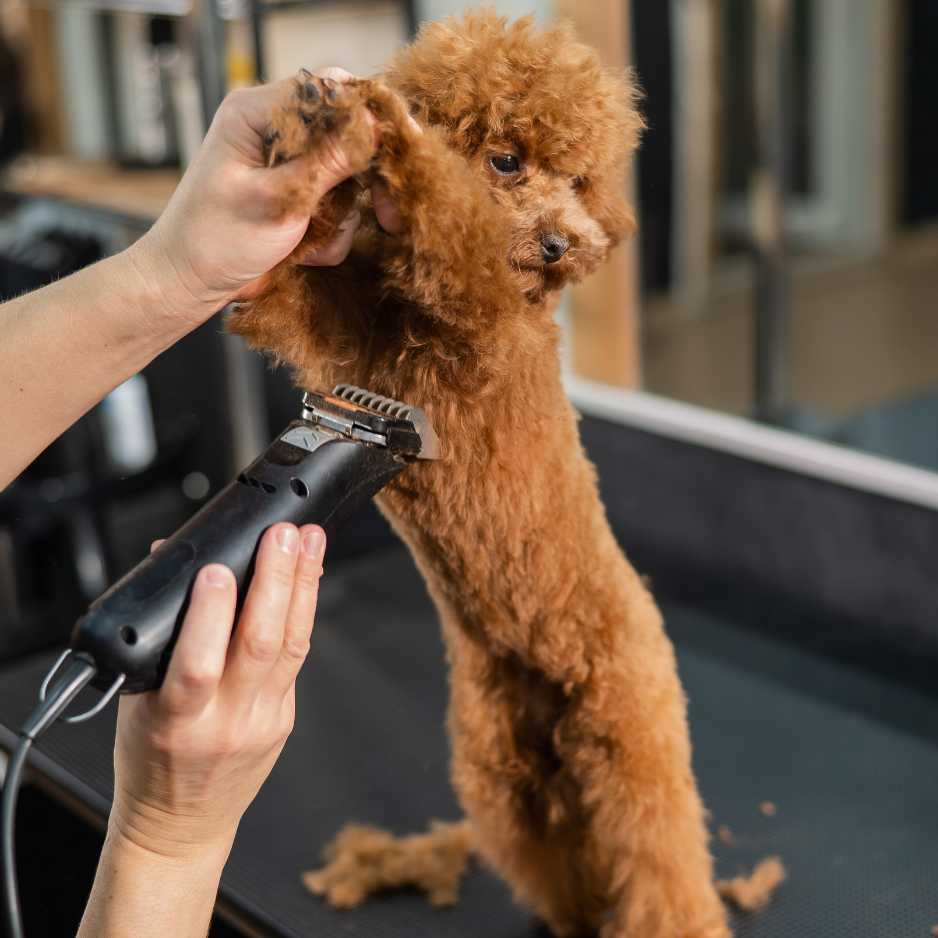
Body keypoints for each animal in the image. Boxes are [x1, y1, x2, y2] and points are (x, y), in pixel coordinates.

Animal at [230, 9, 728, 936]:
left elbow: (450, 225)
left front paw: (390, 136)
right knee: (557, 860)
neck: (415, 316)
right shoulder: (328, 333)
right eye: (506, 160)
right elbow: (273, 280)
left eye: (579, 179)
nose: (565, 243)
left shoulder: (481, 311)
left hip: (631, 734)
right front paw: (307, 129)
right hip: (503, 776)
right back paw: (574, 913)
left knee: (659, 863)